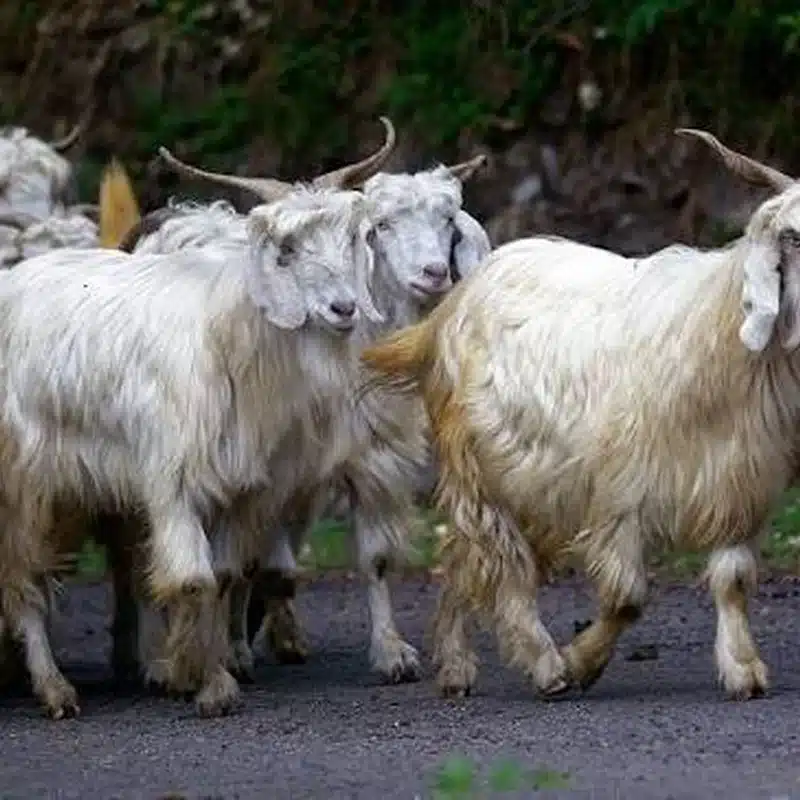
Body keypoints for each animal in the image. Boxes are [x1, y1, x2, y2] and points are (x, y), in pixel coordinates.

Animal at [0, 154, 386, 718]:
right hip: (26, 486)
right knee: (25, 578)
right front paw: (209, 685)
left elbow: (221, 577)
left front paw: (196, 668)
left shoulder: (238, 487)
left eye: (354, 239)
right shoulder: (171, 481)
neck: (225, 334)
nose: (343, 308)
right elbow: (192, 579)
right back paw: (54, 688)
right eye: (286, 251)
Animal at [359, 127, 800, 703]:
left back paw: (455, 666)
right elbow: (627, 597)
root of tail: (444, 315)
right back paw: (543, 663)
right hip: (479, 467)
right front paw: (580, 661)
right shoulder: (620, 493)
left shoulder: (738, 485)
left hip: (534, 484)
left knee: (464, 556)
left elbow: (733, 580)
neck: (715, 328)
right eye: (793, 236)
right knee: (502, 564)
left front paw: (743, 668)